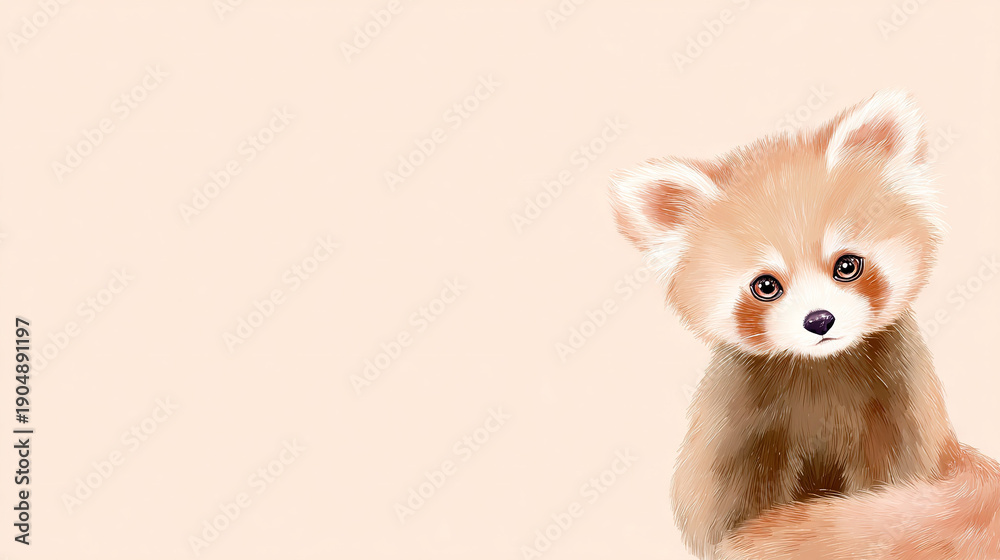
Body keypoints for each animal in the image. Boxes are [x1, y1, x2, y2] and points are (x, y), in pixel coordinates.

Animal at [608, 90, 1000, 559]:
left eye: (847, 265)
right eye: (765, 285)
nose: (819, 320)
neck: (821, 374)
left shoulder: (902, 412)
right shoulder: (735, 428)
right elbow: (712, 512)